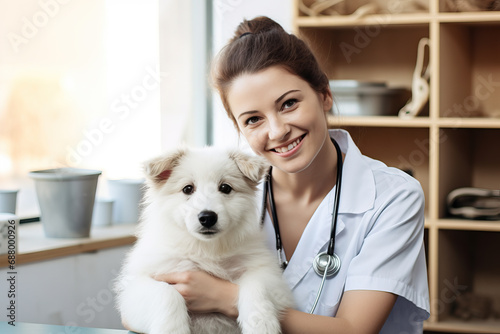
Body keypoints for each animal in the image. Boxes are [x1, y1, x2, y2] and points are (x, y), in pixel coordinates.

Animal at [114, 147, 292, 334]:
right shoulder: (135, 288)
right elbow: (166, 292)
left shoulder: (268, 274)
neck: (205, 248)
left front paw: (262, 324)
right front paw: (173, 329)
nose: (207, 217)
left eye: (225, 187)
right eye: (187, 189)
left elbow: (256, 285)